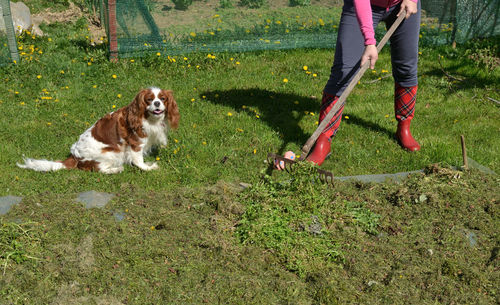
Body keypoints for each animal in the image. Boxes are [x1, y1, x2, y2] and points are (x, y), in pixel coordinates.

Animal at [17, 87, 180, 173]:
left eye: (163, 98)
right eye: (149, 99)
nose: (157, 103)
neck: (148, 118)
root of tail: (74, 156)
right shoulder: (135, 142)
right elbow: (138, 159)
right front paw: (148, 168)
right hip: (111, 152)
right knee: (99, 169)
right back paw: (116, 169)